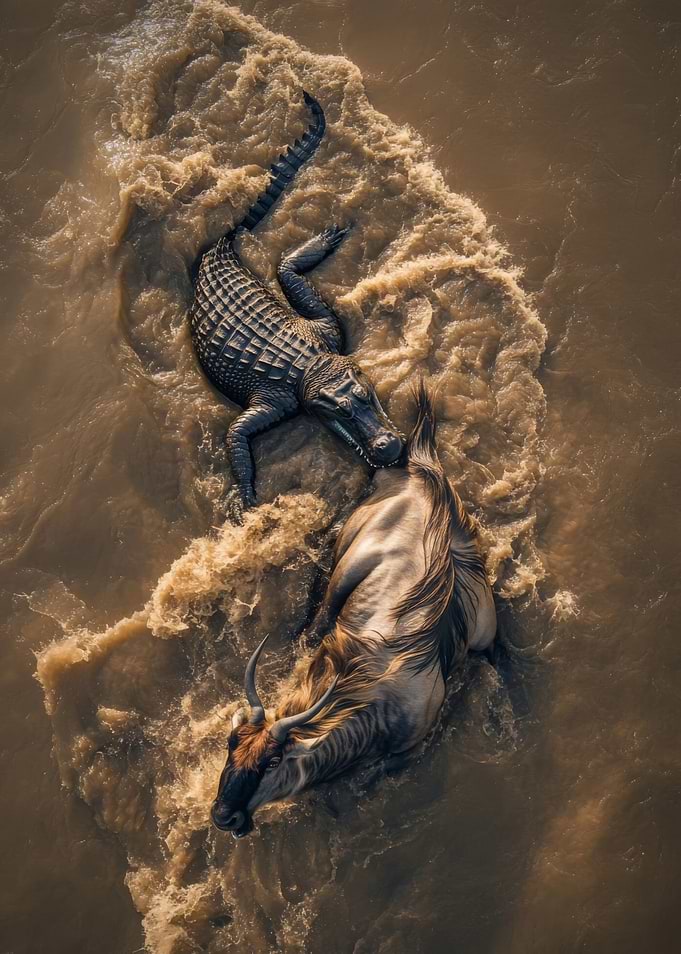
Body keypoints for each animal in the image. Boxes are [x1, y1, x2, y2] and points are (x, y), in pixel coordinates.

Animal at [211, 382, 496, 838]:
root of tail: (422, 469)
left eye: (272, 761)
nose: (224, 816)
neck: (371, 687)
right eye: (230, 744)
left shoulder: (404, 751)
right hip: (346, 567)